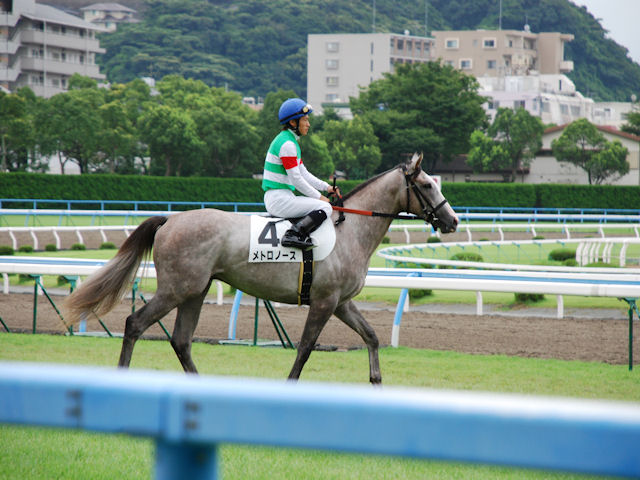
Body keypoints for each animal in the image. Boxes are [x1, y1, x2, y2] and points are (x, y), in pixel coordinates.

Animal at [64, 153, 458, 384]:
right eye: (427, 184)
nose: (452, 220)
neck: (350, 230)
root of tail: (170, 220)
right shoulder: (325, 301)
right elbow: (305, 347)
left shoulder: (342, 303)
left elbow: (372, 337)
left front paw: (376, 381)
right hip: (176, 289)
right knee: (135, 324)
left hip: (195, 291)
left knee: (181, 340)